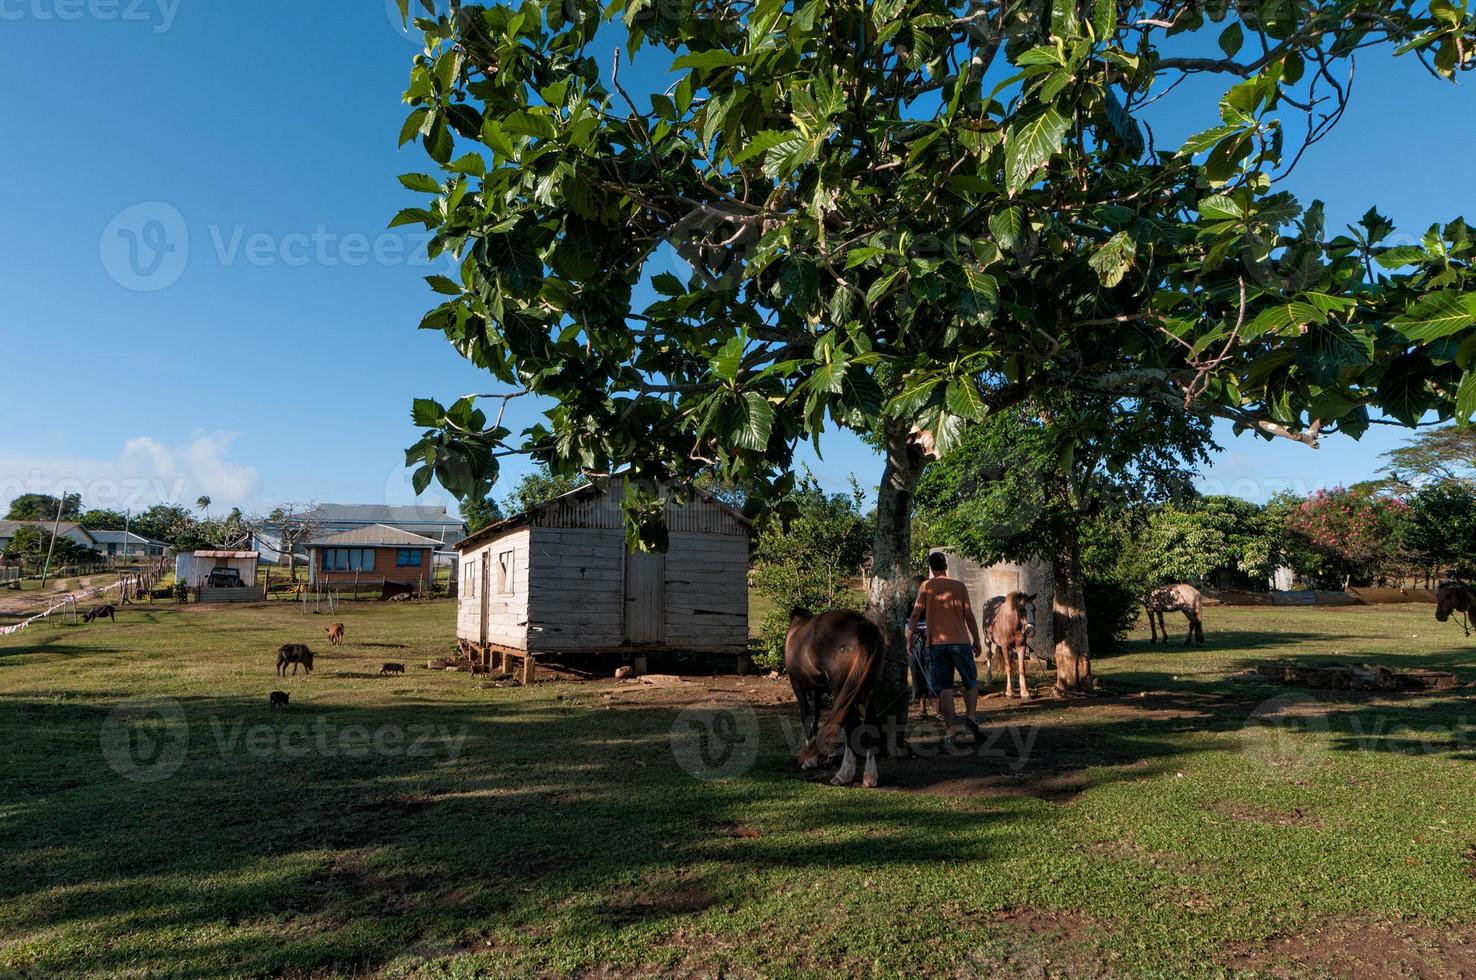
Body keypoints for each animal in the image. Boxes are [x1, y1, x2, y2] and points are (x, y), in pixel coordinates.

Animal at [785, 608, 885, 785]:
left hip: (842, 692)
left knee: (851, 724)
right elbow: (815, 717)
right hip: (869, 691)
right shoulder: (816, 691)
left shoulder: (798, 686)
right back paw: (870, 777)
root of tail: (862, 626)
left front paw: (808, 760)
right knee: (869, 724)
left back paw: (843, 774)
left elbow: (806, 717)